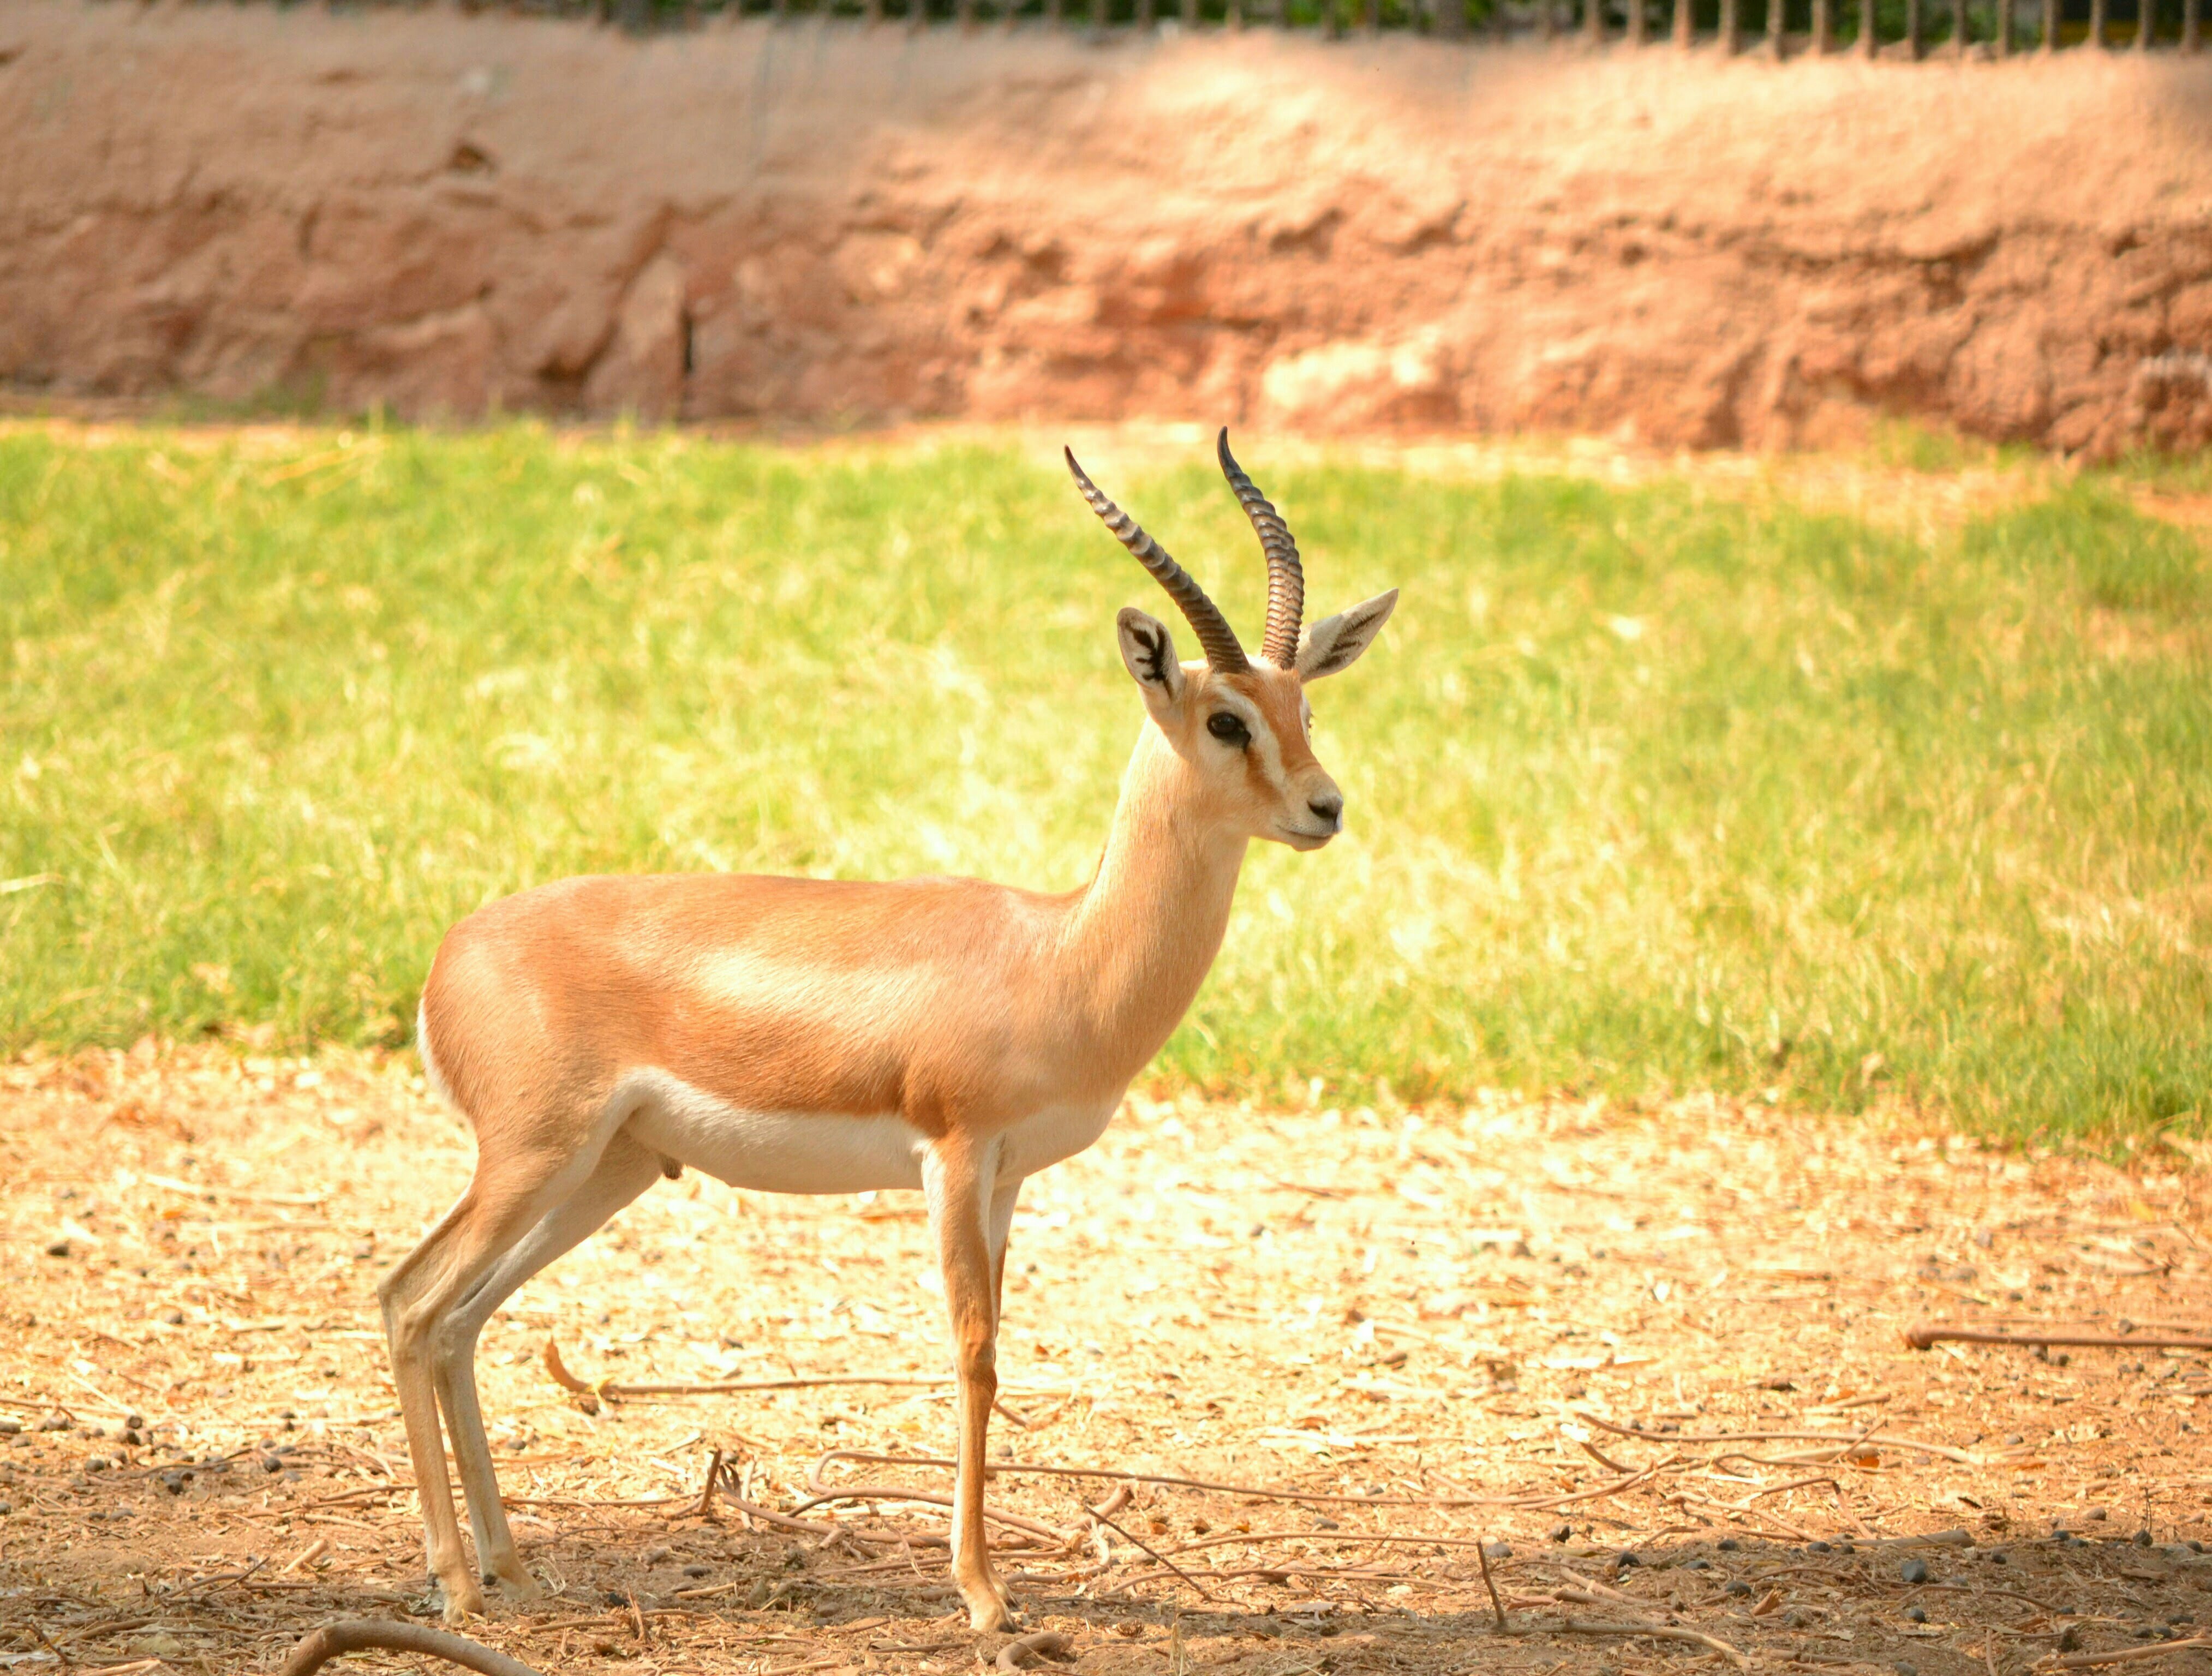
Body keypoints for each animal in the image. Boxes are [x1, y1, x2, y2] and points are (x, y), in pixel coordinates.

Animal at [378, 431, 1398, 1632]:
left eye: (1302, 711)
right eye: (1225, 720)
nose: (1325, 808)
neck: (1057, 953)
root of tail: (449, 956)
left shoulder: (1009, 1177)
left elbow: (996, 1346)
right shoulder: (952, 1157)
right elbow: (972, 1354)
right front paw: (983, 1595)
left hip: (604, 1171)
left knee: (461, 1320)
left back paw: (511, 1567)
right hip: (533, 1158)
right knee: (411, 1303)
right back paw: (456, 1582)